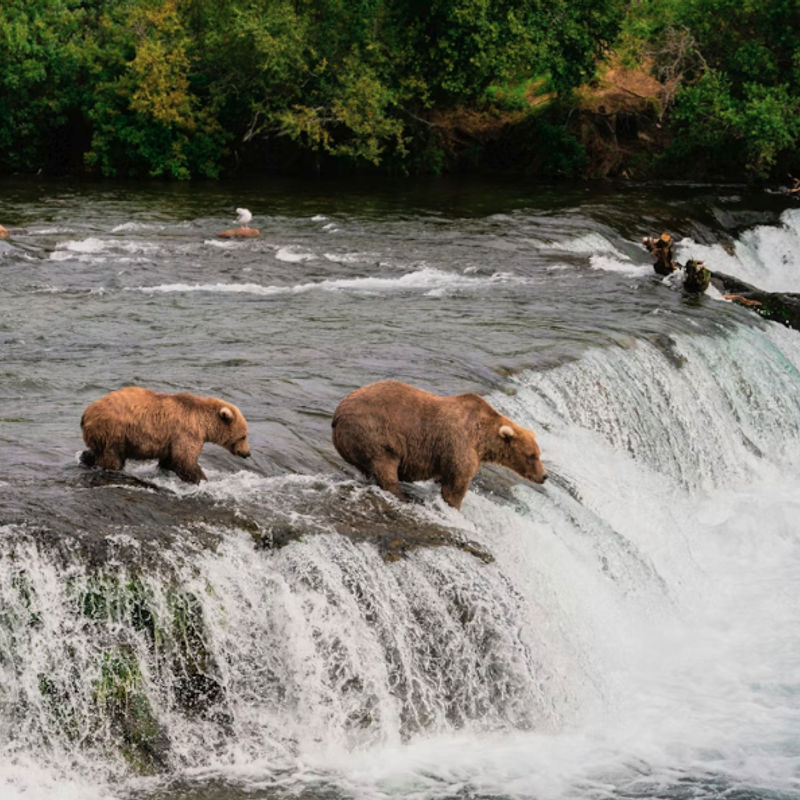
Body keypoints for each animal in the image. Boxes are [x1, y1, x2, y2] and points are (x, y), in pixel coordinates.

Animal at [80, 386, 250, 483]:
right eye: (243, 436)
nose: (247, 453)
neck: (203, 423)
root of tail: (87, 412)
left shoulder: (171, 440)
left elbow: (170, 459)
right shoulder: (187, 432)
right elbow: (185, 459)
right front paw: (202, 479)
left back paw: (86, 458)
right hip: (114, 431)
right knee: (111, 457)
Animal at [331, 380, 547, 509]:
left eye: (538, 454)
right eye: (531, 455)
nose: (544, 476)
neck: (483, 440)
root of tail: (337, 414)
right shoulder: (460, 445)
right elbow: (456, 485)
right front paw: (454, 506)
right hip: (375, 433)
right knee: (385, 466)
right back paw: (403, 496)